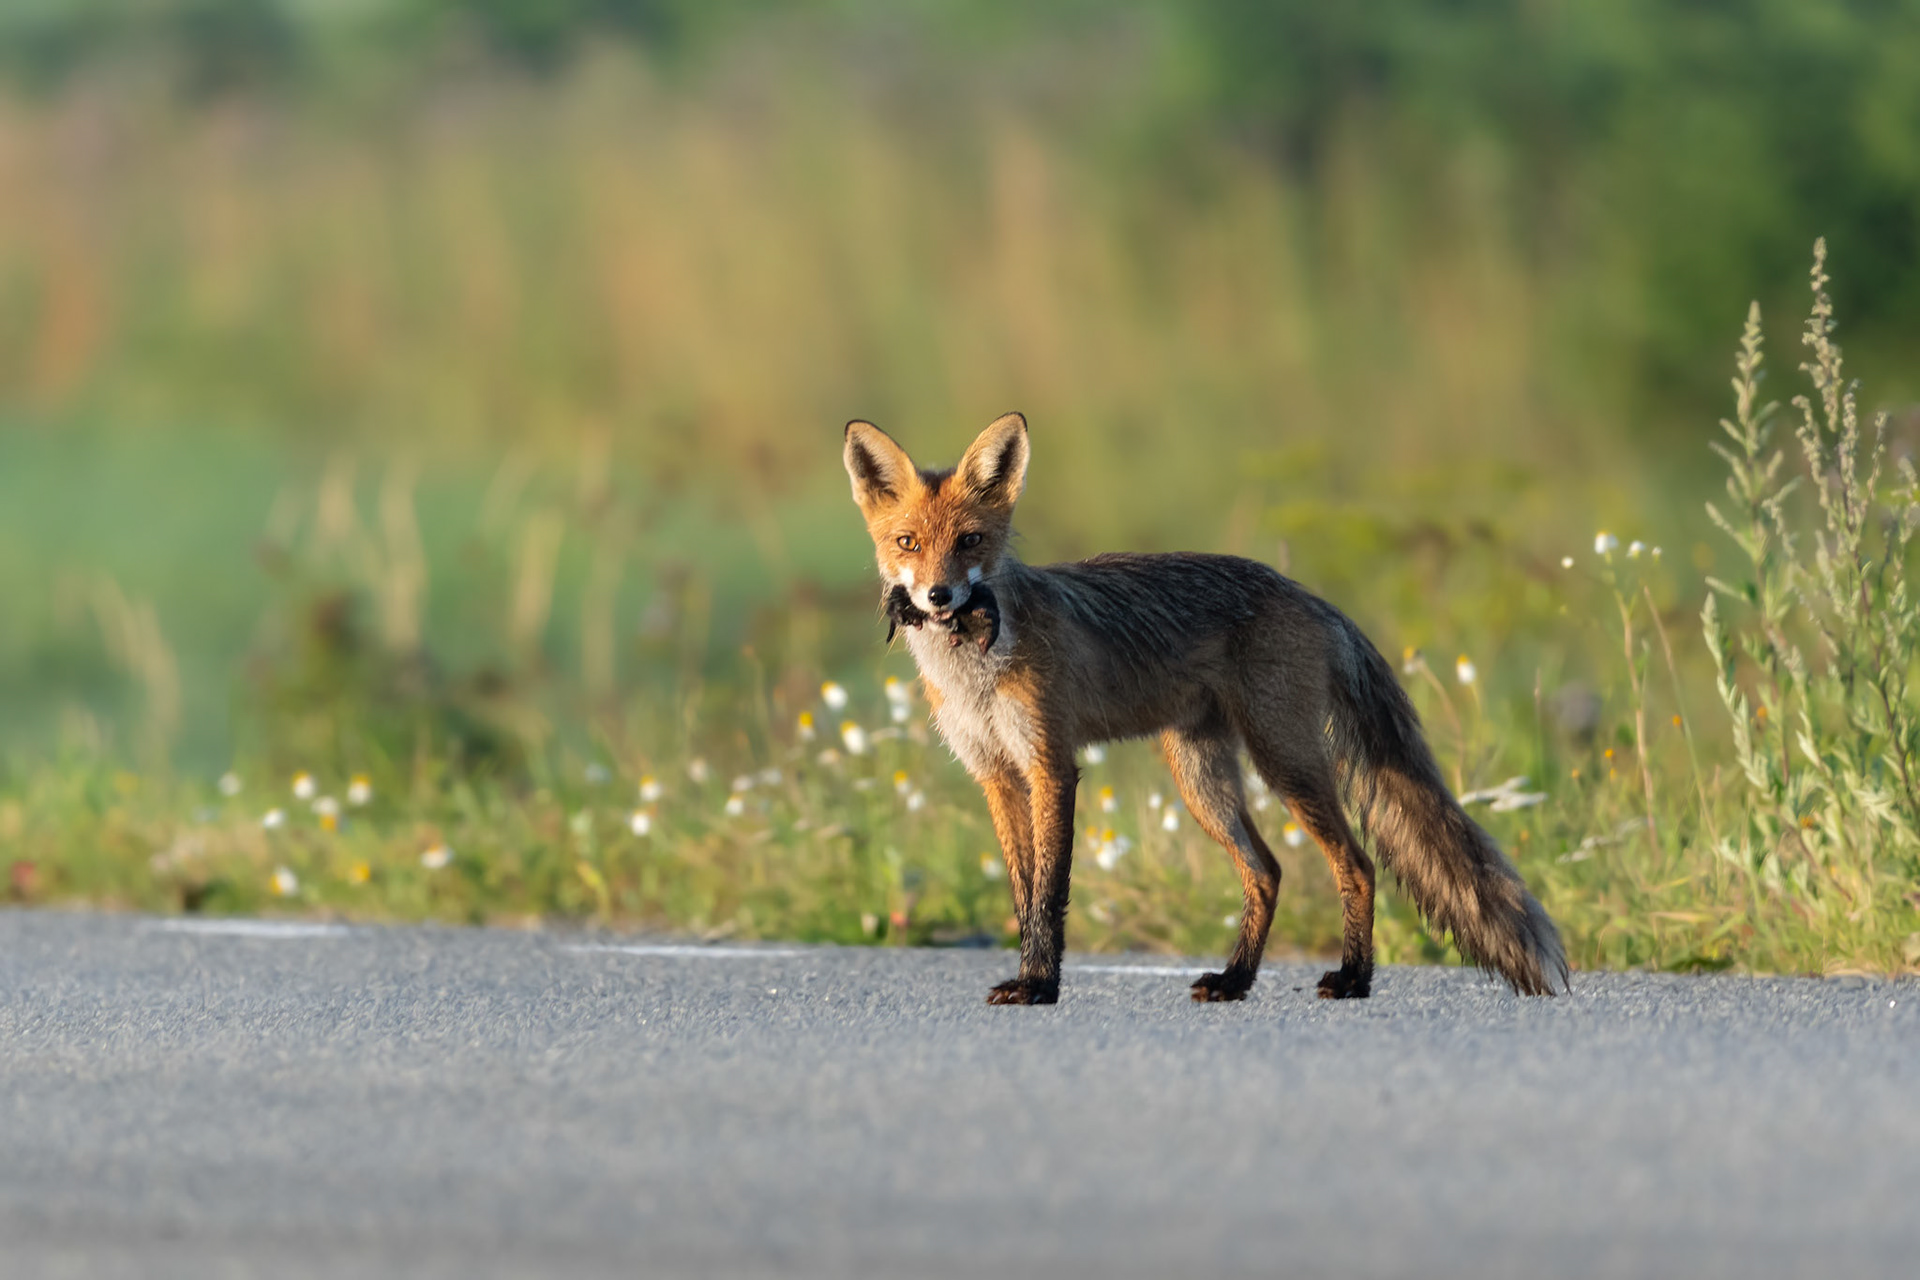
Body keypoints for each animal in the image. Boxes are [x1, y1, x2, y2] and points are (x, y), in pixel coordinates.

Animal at [843, 411, 1568, 1005]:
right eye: (908, 543)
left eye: (969, 541)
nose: (939, 597)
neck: (976, 666)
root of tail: (1306, 594)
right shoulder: (995, 773)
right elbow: (1024, 894)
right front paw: (1031, 975)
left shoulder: (1050, 763)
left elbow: (1050, 892)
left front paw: (1041, 986)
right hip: (1201, 778)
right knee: (1268, 871)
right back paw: (1236, 979)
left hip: (1283, 760)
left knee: (1357, 865)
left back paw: (1354, 979)